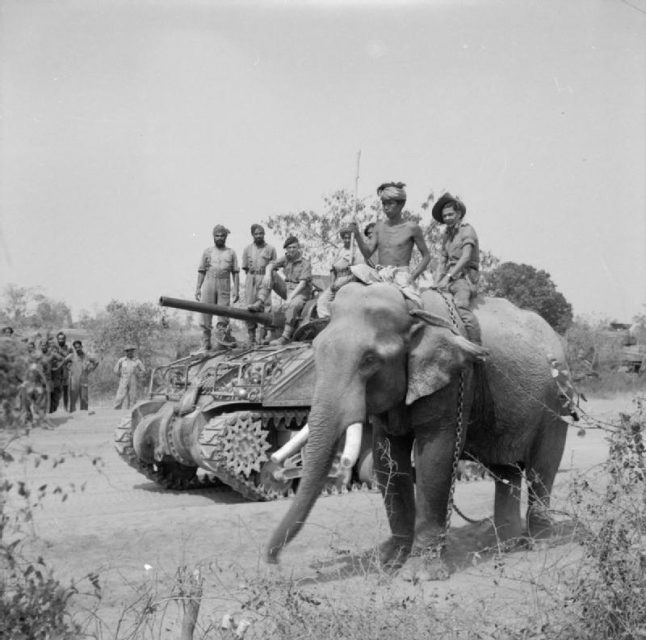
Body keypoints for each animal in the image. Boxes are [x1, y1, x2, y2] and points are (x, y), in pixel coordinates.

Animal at [266, 280, 576, 580]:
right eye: (315, 351)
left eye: (369, 360)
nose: (275, 564)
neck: (412, 308)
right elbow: (388, 461)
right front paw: (390, 562)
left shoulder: (453, 382)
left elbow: (434, 459)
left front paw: (417, 574)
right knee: (506, 470)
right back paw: (504, 545)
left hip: (556, 404)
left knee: (541, 469)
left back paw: (538, 543)